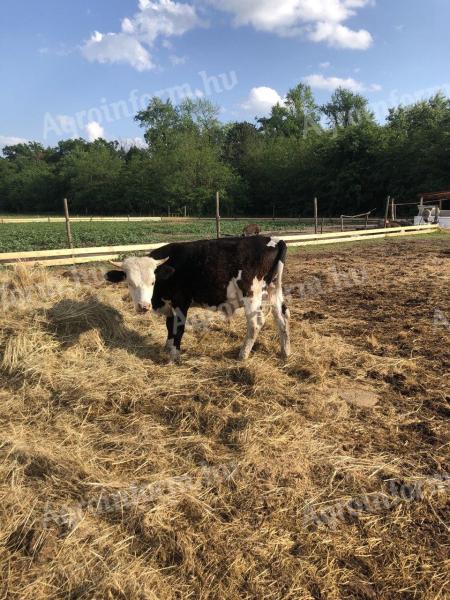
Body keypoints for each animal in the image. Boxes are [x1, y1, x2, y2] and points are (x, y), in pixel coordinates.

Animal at [104, 237, 290, 364]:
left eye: (152, 281)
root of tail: (275, 240)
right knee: (282, 317)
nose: (143, 306)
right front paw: (168, 346)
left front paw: (174, 356)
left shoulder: (181, 301)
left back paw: (242, 355)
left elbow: (179, 328)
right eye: (129, 283)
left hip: (251, 294)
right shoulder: (170, 305)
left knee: (255, 323)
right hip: (273, 290)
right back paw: (285, 352)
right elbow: (169, 326)